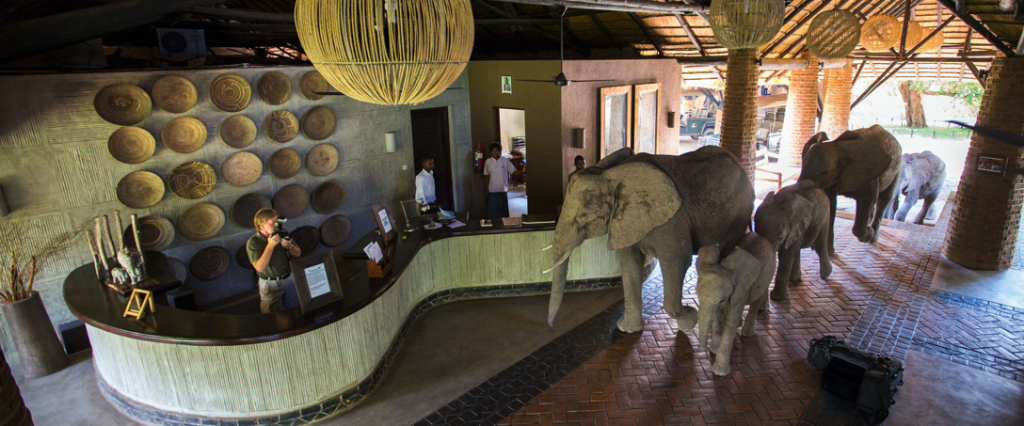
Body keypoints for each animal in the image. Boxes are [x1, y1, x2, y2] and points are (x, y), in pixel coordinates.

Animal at [544, 146, 753, 331]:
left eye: (583, 217)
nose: (552, 325)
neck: (610, 174)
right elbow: (629, 263)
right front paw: (628, 329)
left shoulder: (672, 219)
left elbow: (676, 262)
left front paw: (690, 320)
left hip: (737, 217)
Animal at [688, 233, 774, 376]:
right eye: (697, 295)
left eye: (722, 300)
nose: (701, 351)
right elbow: (717, 317)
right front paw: (714, 350)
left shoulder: (741, 288)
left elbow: (730, 321)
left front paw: (720, 372)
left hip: (767, 275)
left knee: (756, 301)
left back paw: (747, 333)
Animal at [798, 124, 905, 254]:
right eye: (802, 165)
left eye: (824, 172)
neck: (838, 143)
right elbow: (831, 205)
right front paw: (830, 253)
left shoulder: (869, 175)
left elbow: (866, 201)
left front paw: (868, 234)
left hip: (897, 170)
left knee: (884, 201)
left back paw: (872, 238)